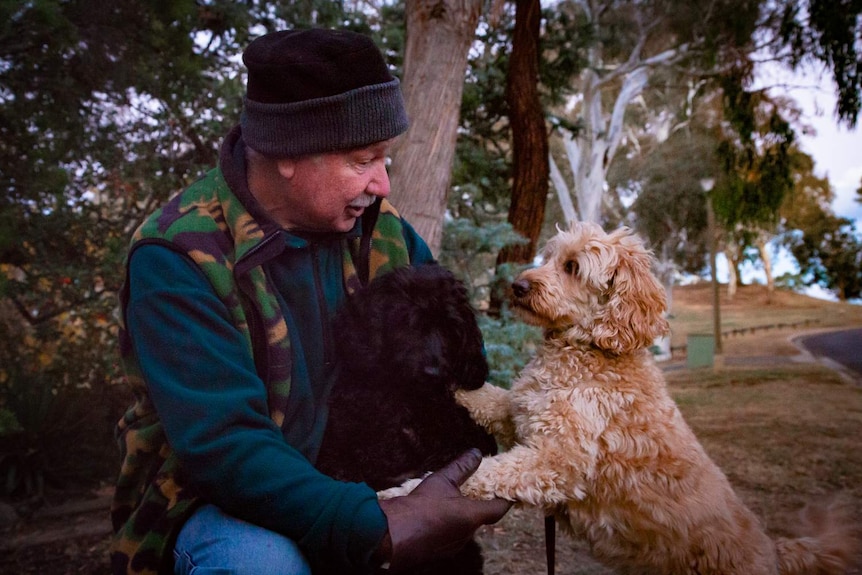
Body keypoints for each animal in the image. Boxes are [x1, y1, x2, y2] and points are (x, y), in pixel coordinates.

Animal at [318, 264, 496, 575]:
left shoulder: (468, 433)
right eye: (409, 323)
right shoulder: (340, 441)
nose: (434, 373)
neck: (403, 396)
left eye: (451, 330)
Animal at [452, 225, 862, 575]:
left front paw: (440, 486)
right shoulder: (523, 411)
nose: (517, 285)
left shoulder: (557, 459)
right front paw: (455, 388)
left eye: (572, 267)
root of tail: (774, 553)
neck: (592, 350)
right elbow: (493, 399)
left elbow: (489, 471)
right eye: (548, 257)